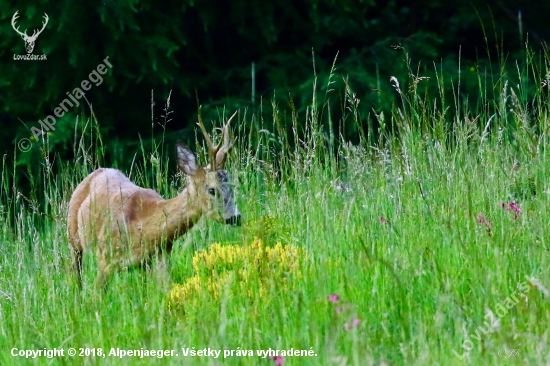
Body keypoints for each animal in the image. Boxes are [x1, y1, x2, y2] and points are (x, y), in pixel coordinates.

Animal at [67, 110, 242, 288]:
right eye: (212, 189)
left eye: (232, 186)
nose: (235, 217)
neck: (141, 228)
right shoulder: (105, 257)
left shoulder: (159, 257)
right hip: (73, 236)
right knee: (76, 271)